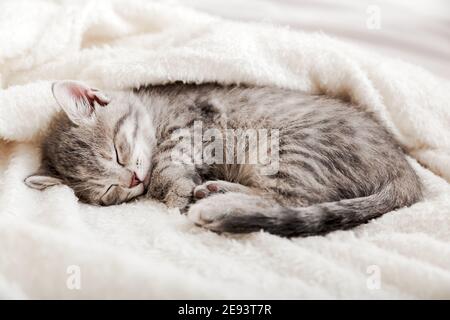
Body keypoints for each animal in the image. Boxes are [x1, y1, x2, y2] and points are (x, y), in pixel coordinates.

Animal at [24, 80, 422, 238]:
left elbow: (168, 162)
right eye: (107, 192)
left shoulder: (197, 124)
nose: (133, 181)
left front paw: (172, 190)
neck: (156, 108)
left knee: (293, 200)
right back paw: (216, 192)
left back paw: (217, 203)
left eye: (118, 152)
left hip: (288, 148)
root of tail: (405, 172)